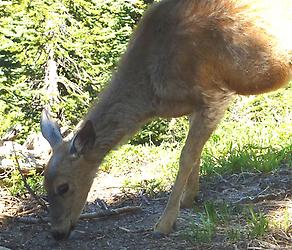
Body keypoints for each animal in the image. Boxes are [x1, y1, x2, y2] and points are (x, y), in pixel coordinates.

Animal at [40, 0, 292, 242]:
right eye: (44, 185)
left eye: (63, 187)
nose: (57, 233)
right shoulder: (196, 105)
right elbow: (196, 154)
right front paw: (190, 197)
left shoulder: (214, 94)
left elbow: (185, 157)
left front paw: (165, 223)